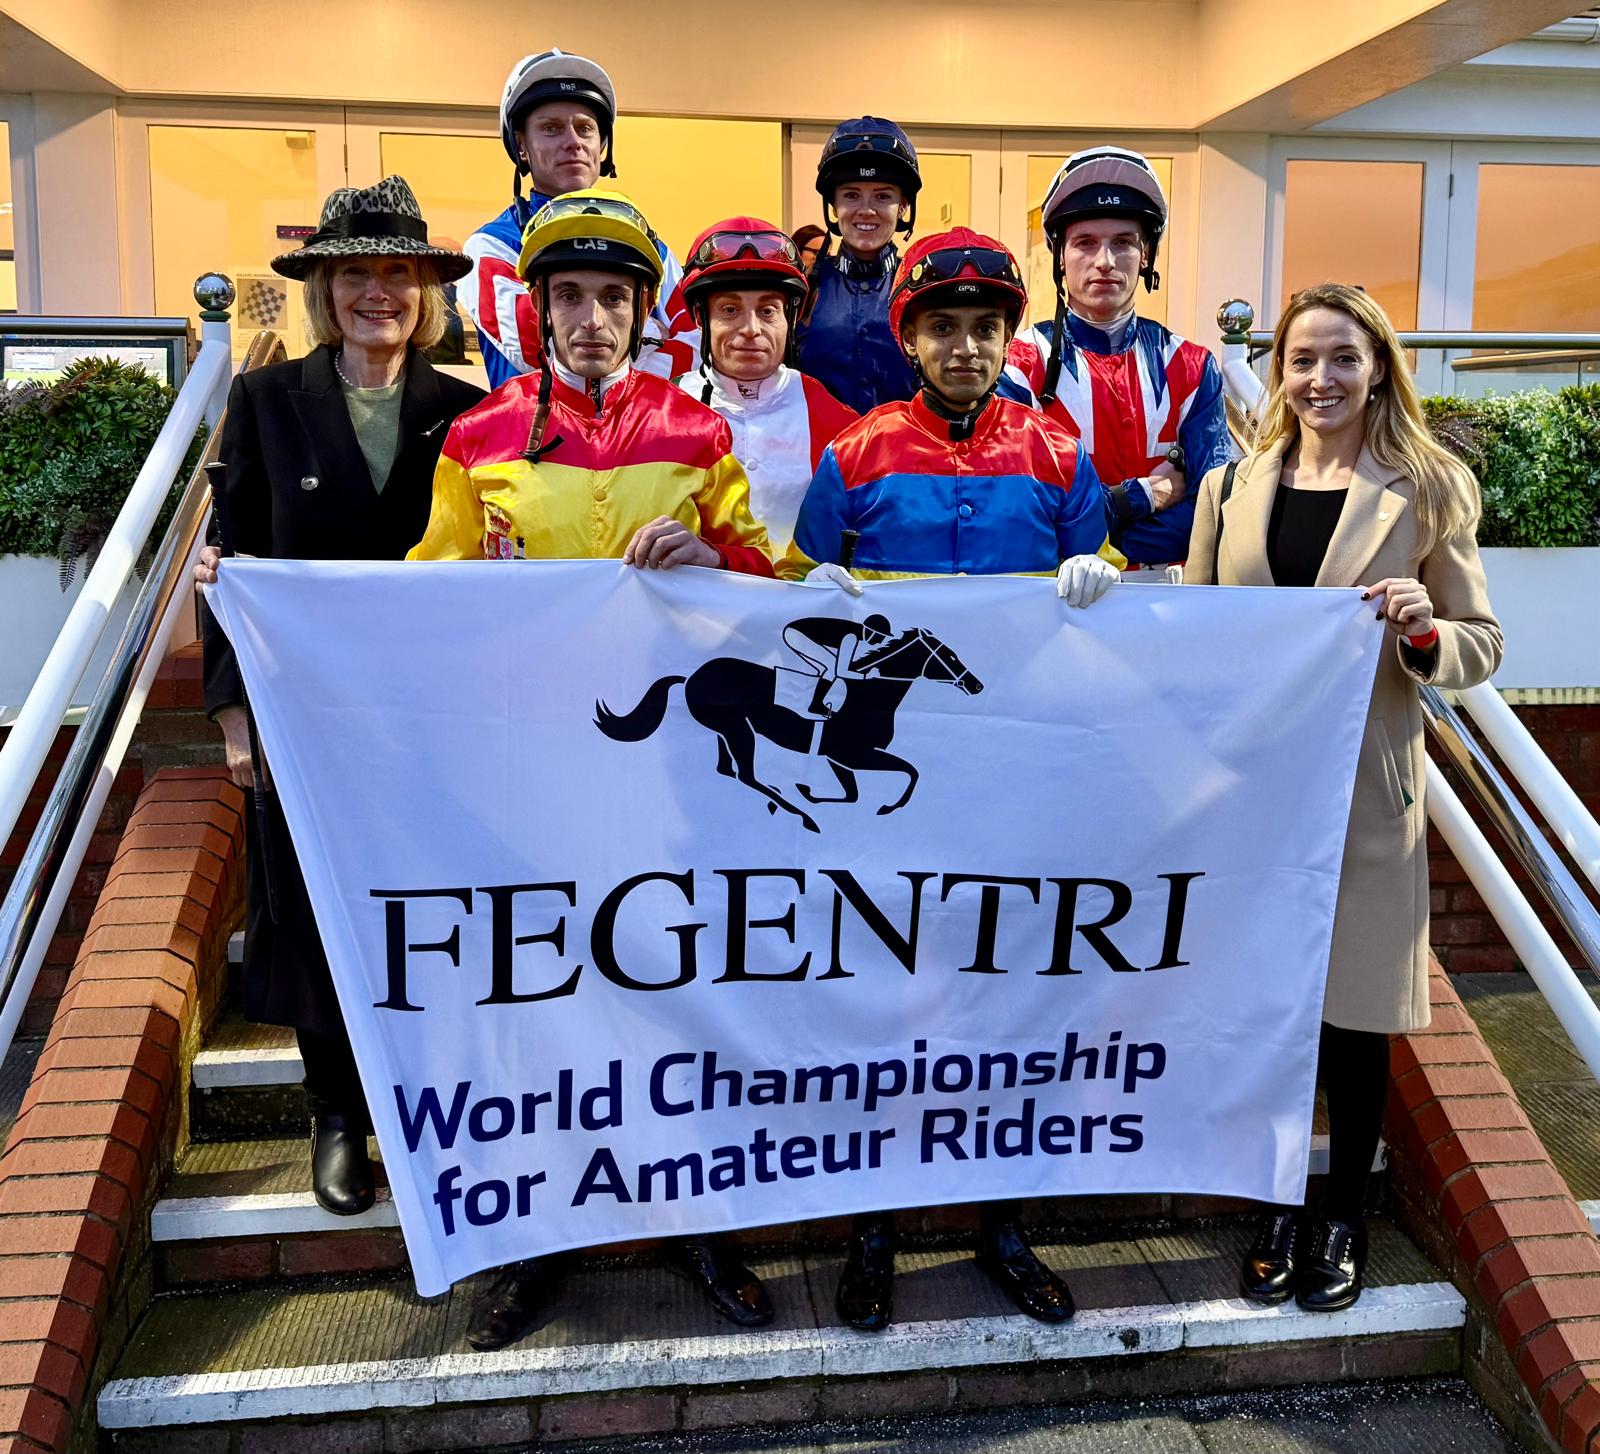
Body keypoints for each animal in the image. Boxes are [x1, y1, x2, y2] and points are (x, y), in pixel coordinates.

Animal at [595, 626, 983, 833]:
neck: (869, 698)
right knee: (746, 775)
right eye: (949, 656)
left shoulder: (838, 759)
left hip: (727, 729)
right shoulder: (853, 753)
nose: (976, 685)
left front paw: (807, 790)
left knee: (727, 769)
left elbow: (853, 794)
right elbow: (911, 771)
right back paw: (800, 815)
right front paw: (887, 807)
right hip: (738, 730)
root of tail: (691, 676)